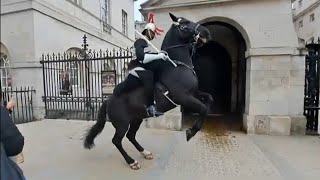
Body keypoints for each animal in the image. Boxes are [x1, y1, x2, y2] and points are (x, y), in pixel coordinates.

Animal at [83, 13, 212, 170]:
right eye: (183, 26)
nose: (206, 32)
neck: (177, 66)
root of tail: (108, 100)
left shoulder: (194, 93)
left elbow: (209, 99)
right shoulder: (183, 97)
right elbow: (203, 108)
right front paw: (191, 132)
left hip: (136, 119)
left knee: (131, 136)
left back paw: (145, 152)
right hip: (122, 124)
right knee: (117, 141)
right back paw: (132, 161)